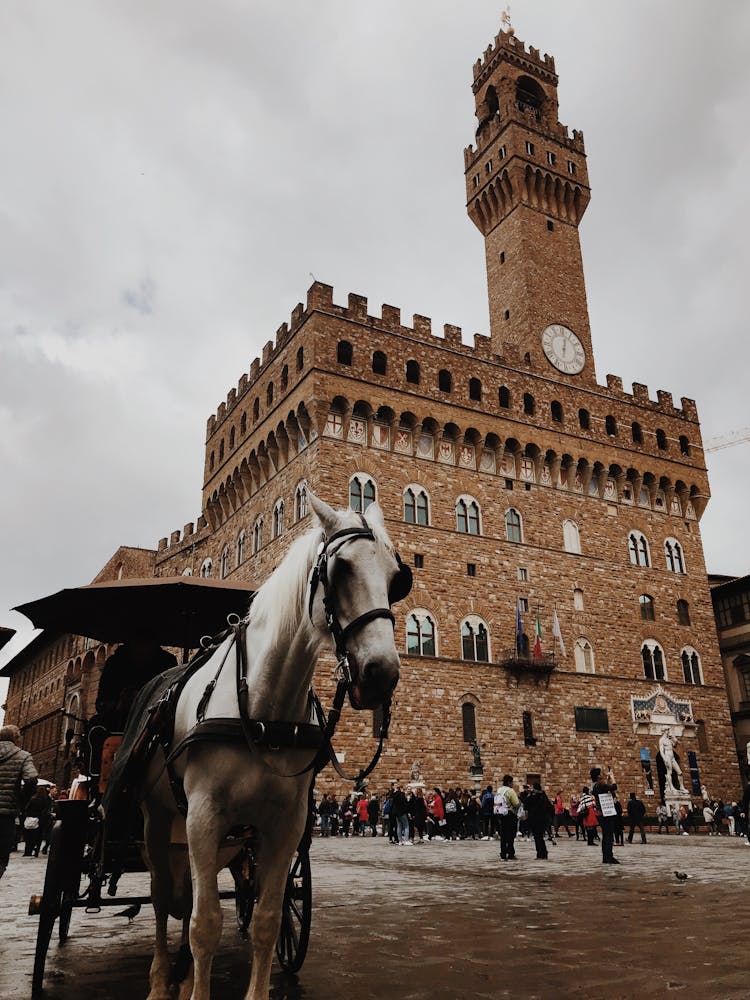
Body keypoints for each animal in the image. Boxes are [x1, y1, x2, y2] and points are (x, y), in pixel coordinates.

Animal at [135, 498, 412, 1000]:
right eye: (340, 568)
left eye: (395, 575)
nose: (381, 673)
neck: (266, 709)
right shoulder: (203, 815)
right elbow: (205, 924)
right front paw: (193, 985)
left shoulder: (287, 822)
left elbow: (267, 918)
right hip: (159, 819)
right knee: (165, 897)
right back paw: (162, 979)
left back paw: (181, 973)